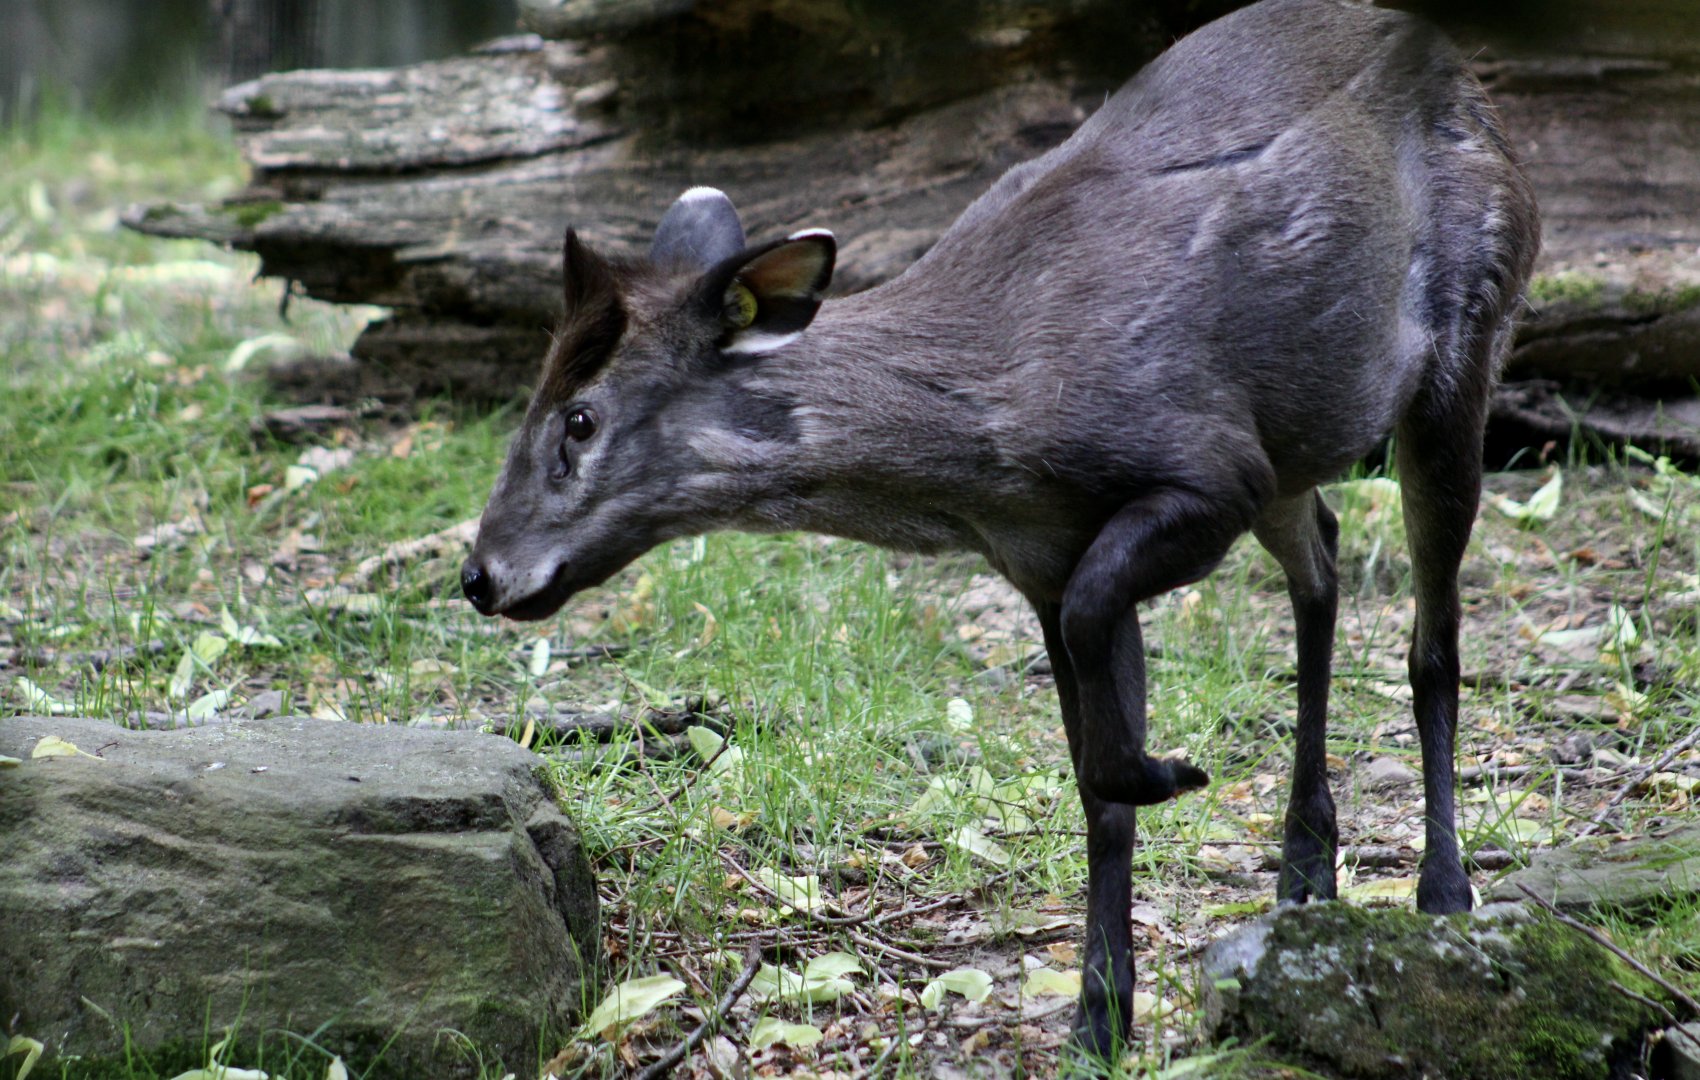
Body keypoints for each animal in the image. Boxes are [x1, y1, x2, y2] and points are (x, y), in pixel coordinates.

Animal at [460, 0, 1538, 1062]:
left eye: (580, 419)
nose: (479, 573)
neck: (993, 430)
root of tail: (1467, 77)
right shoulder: (1046, 556)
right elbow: (1094, 783)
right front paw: (1101, 1015)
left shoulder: (1205, 470)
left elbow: (1105, 685)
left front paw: (1169, 774)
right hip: (1301, 441)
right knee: (1321, 558)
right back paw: (1304, 867)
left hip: (1463, 347)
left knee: (1431, 638)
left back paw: (1443, 889)